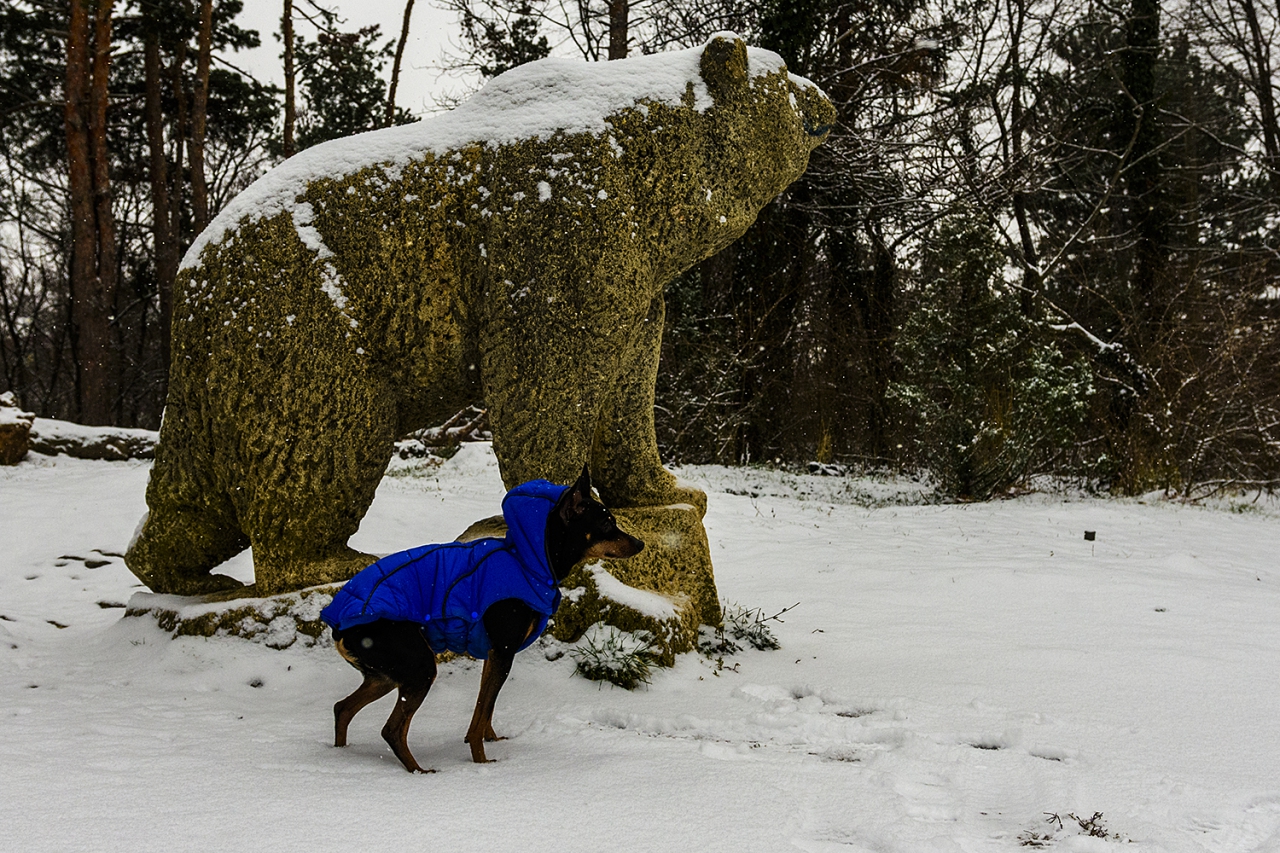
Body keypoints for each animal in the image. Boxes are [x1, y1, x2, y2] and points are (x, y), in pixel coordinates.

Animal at [320, 466, 640, 768]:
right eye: (606, 523)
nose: (640, 544)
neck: (526, 559)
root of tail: (337, 626)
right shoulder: (504, 651)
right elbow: (482, 712)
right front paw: (482, 762)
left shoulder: (492, 654)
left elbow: (483, 710)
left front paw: (491, 741)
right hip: (419, 668)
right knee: (392, 729)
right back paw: (419, 771)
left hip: (386, 675)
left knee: (342, 708)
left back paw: (341, 755)